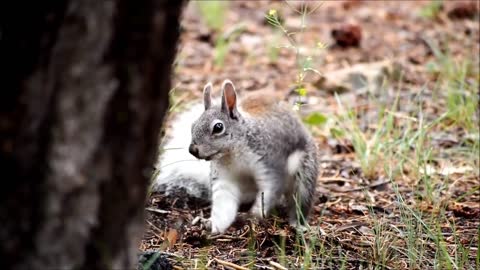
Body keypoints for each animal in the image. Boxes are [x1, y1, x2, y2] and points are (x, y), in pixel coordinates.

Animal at [155, 79, 318, 233]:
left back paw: (298, 223)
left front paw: (254, 215)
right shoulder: (223, 177)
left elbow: (268, 192)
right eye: (193, 125)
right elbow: (224, 203)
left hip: (305, 170)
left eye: (218, 127)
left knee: (301, 199)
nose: (192, 150)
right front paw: (213, 224)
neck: (233, 154)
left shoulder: (270, 165)